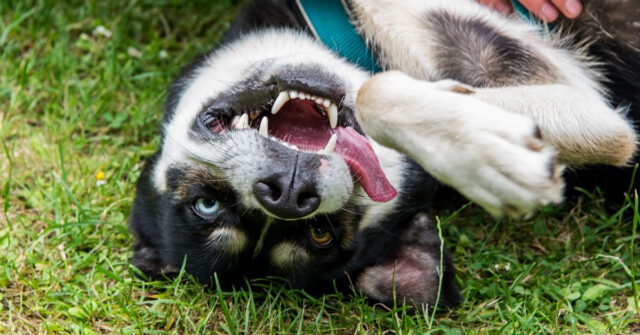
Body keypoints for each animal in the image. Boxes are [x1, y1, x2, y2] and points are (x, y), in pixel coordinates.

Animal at [129, 0, 640, 310]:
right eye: (321, 235)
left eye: (204, 204)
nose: (285, 192)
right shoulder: (596, 115)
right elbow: (377, 94)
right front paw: (488, 155)